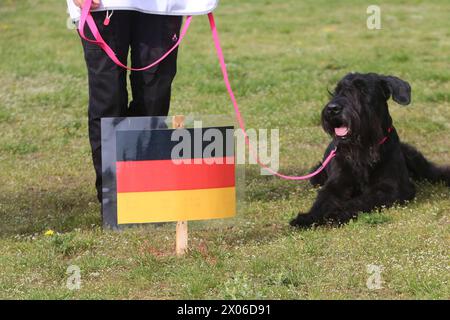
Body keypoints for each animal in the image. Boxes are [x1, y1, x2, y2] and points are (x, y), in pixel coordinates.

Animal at [290, 72, 448, 228]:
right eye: (336, 91)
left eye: (362, 90)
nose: (332, 109)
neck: (363, 148)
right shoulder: (336, 183)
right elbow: (323, 200)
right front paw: (308, 218)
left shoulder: (390, 188)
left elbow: (361, 200)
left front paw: (336, 215)